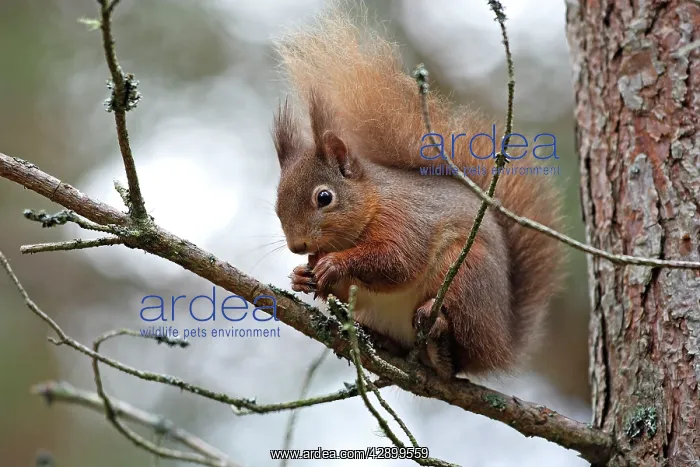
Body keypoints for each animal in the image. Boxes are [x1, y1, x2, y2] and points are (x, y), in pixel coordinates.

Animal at [270, 9, 566, 380]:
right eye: (276, 207)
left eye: (324, 198)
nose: (298, 247)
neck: (373, 202)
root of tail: (500, 342)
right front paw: (301, 276)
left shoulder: (405, 218)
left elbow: (397, 261)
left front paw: (333, 264)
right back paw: (381, 341)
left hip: (469, 275)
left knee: (456, 354)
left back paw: (438, 339)